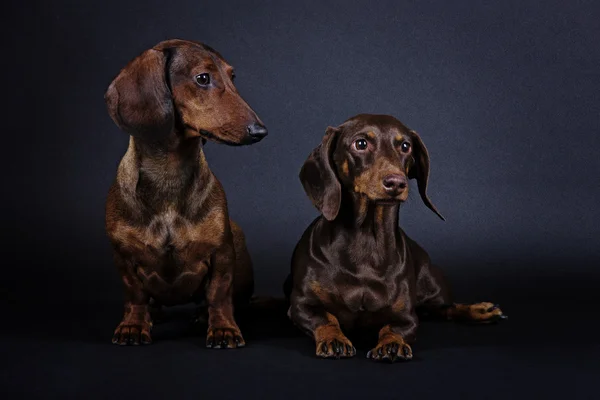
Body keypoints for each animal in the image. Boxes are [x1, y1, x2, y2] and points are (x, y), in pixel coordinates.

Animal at [105, 39, 268, 348]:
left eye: (233, 77)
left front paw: (223, 328)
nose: (260, 131)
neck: (169, 177)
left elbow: (218, 294)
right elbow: (135, 294)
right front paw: (133, 325)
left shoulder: (222, 253)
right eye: (203, 78)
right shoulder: (123, 256)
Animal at [286, 113, 506, 362]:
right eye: (361, 143)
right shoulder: (300, 306)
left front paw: (392, 343)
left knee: (446, 308)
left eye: (405, 146)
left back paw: (480, 310)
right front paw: (334, 338)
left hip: (432, 286)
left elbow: (394, 327)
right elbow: (325, 318)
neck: (366, 241)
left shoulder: (407, 317)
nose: (396, 183)